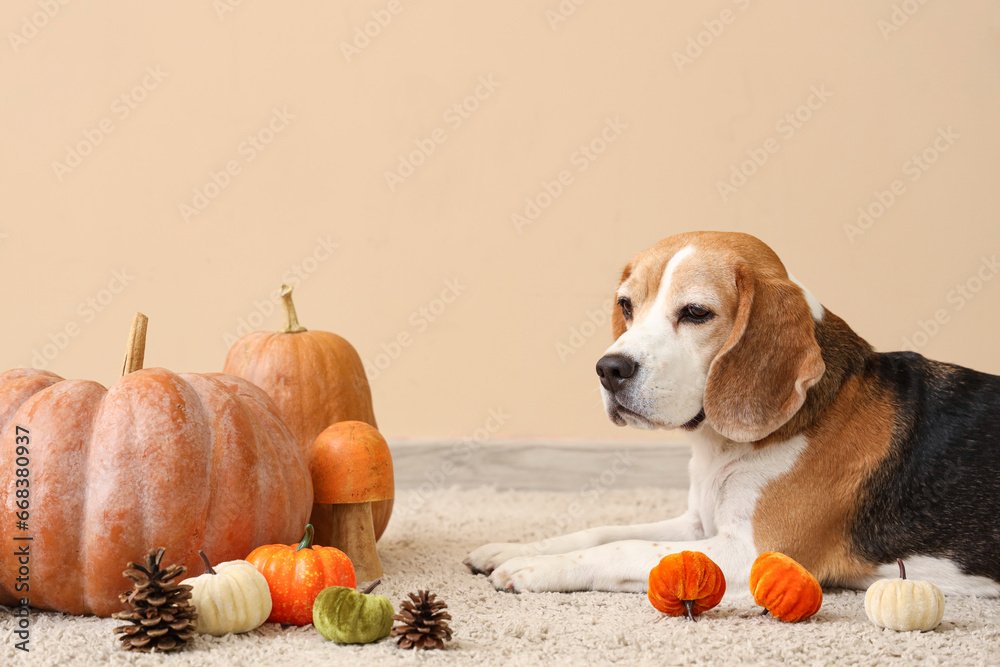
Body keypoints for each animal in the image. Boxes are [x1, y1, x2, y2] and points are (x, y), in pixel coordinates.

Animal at [466, 231, 1000, 600]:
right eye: (626, 305)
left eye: (696, 313)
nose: (608, 369)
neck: (723, 447)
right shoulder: (697, 523)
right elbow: (604, 531)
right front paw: (516, 548)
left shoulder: (756, 551)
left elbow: (623, 548)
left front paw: (534, 569)